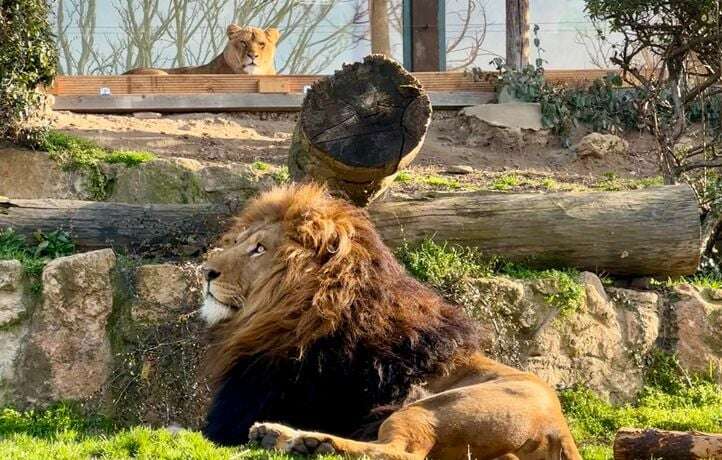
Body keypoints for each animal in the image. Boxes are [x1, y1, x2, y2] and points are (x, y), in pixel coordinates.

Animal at [198, 184, 580, 460]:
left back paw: (312, 441)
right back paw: (281, 436)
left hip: (430, 410)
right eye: (239, 242)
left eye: (259, 249)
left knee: (402, 454)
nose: (206, 271)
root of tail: (559, 428)